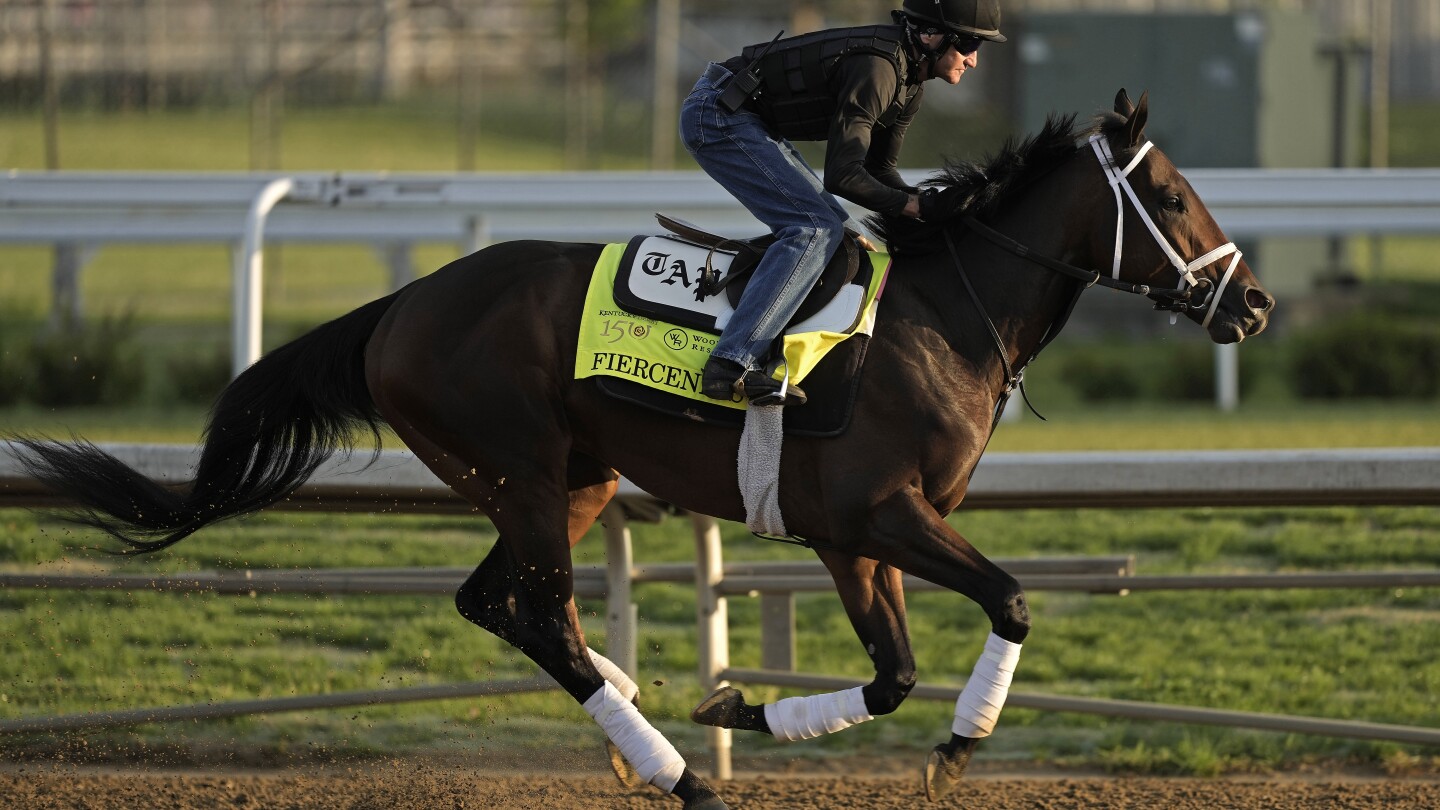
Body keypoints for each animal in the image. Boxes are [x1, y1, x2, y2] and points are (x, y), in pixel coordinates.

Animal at [11, 89, 1272, 807]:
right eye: (1171, 195)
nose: (1253, 304)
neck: (940, 318)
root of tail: (401, 306)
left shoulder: (849, 540)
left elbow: (893, 673)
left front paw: (740, 709)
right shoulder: (885, 516)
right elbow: (1005, 603)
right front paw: (956, 750)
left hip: (569, 480)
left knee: (504, 606)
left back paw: (641, 716)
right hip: (521, 471)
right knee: (539, 615)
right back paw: (669, 771)